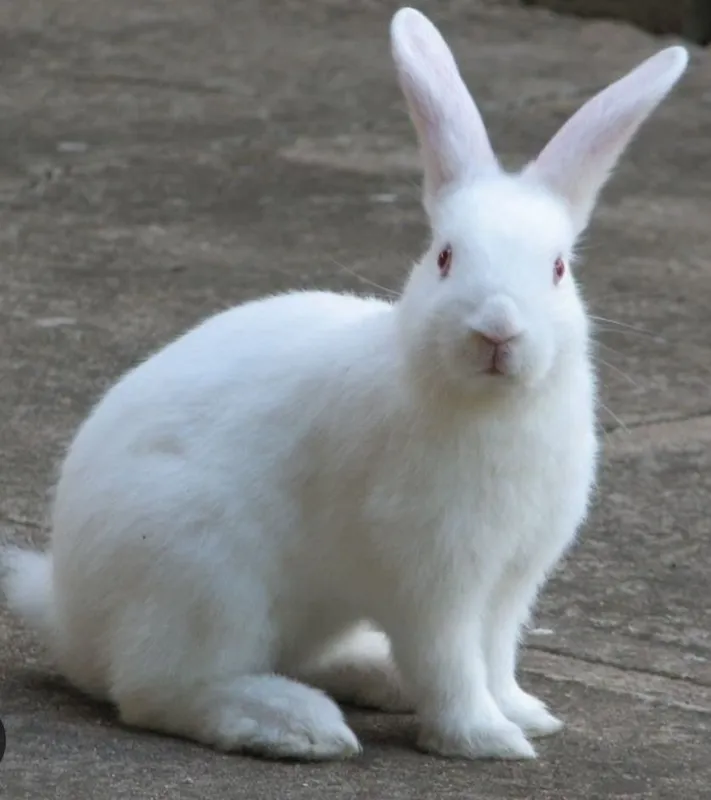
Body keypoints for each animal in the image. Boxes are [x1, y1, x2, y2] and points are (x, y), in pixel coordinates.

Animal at [0, 7, 688, 762]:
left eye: (559, 268)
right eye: (444, 257)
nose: (497, 331)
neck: (488, 406)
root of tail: (67, 613)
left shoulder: (511, 578)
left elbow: (495, 651)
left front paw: (523, 713)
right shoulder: (433, 577)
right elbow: (451, 660)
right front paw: (484, 739)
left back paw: (372, 677)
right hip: (203, 578)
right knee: (158, 691)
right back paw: (298, 724)